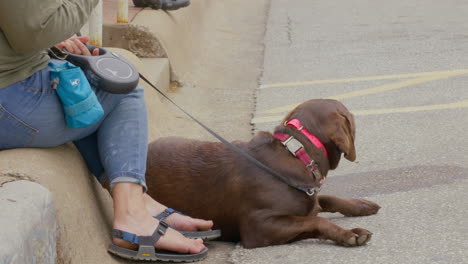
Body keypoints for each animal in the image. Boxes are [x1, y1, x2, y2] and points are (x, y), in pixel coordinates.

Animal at [146, 98, 380, 248]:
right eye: (351, 118)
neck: (298, 153)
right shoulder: (259, 227)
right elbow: (316, 221)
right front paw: (350, 234)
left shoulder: (308, 197)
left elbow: (327, 199)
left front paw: (360, 205)